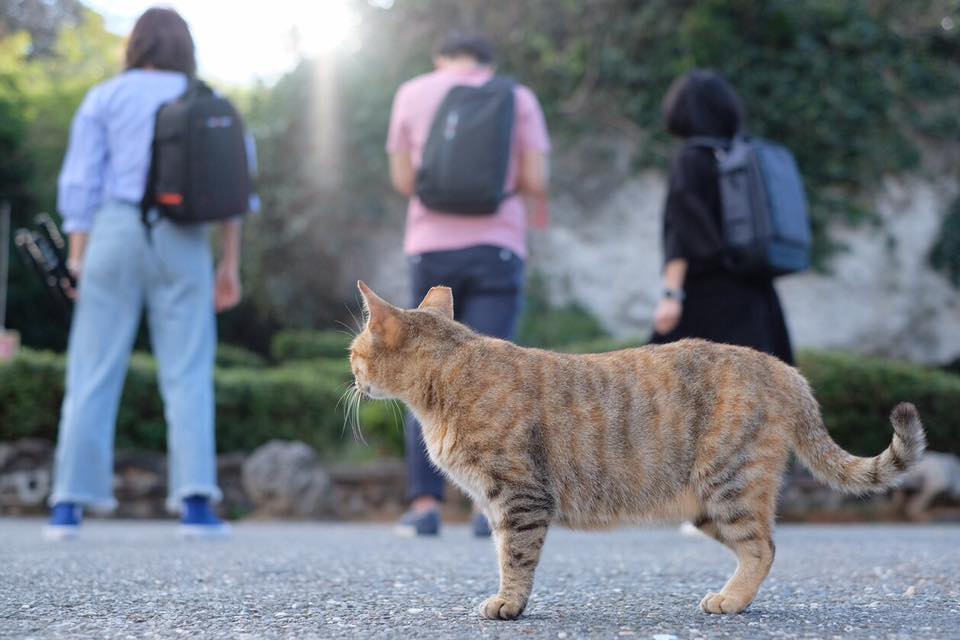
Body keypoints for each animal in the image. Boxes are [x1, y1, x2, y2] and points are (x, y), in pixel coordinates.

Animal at [348, 282, 928, 620]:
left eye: (354, 352)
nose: (350, 377)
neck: (442, 389)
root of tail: (785, 370)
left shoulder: (520, 497)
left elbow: (515, 557)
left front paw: (509, 604)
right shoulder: (497, 504)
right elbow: (502, 553)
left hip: (729, 484)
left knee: (764, 547)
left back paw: (731, 601)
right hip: (706, 504)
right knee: (758, 547)